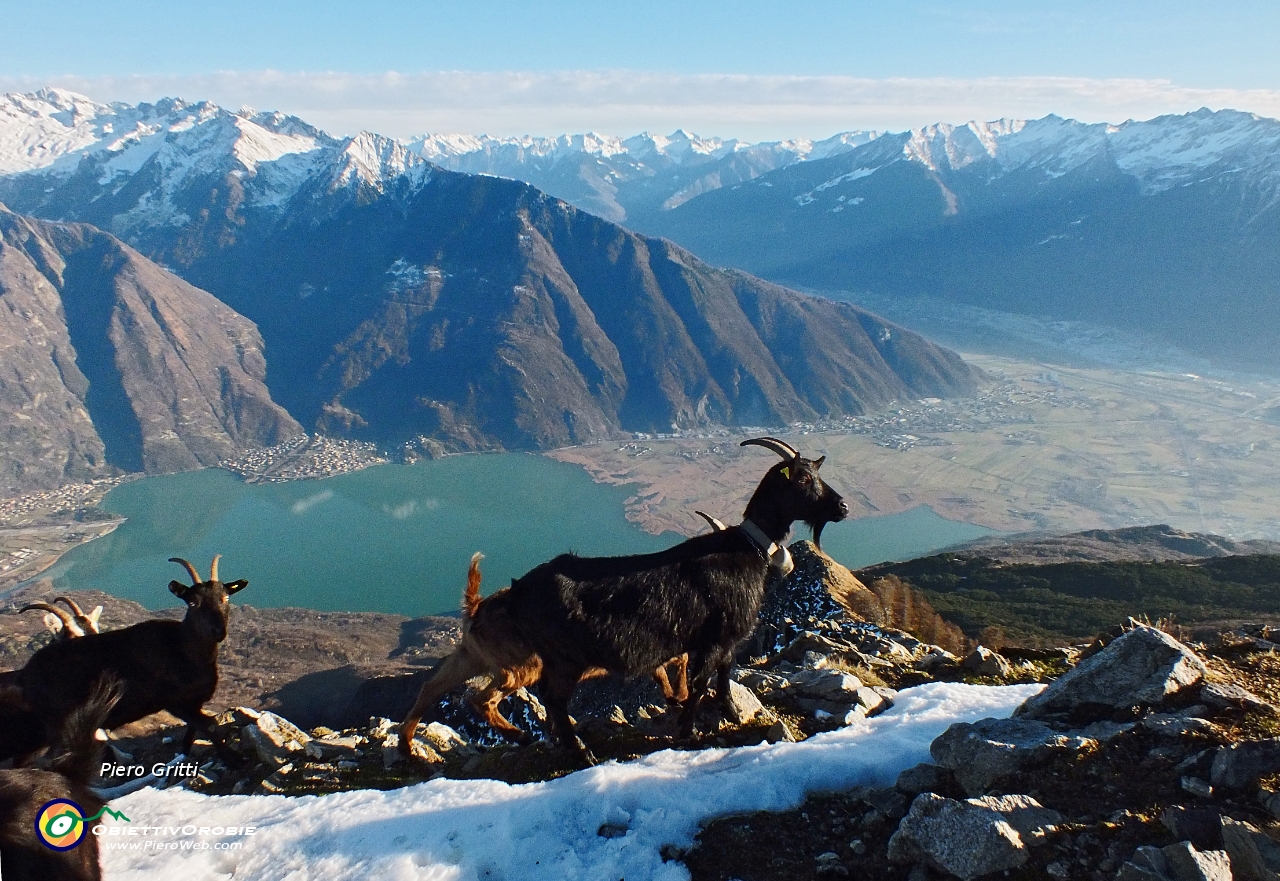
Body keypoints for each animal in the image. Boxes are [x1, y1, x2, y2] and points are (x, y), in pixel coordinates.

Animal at [9, 553, 249, 758]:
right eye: (192, 602)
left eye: (226, 598)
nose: (218, 631)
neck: (182, 646)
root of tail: (26, 675)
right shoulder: (176, 703)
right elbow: (209, 726)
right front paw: (234, 760)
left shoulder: (195, 702)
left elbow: (193, 732)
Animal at [404, 437, 844, 758]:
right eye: (802, 478)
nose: (841, 506)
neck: (746, 548)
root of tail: (513, 593)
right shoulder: (711, 639)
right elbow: (701, 682)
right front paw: (688, 732)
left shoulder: (719, 639)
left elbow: (722, 673)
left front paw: (729, 712)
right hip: (558, 660)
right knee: (550, 699)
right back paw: (579, 751)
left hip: (490, 657)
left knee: (438, 688)